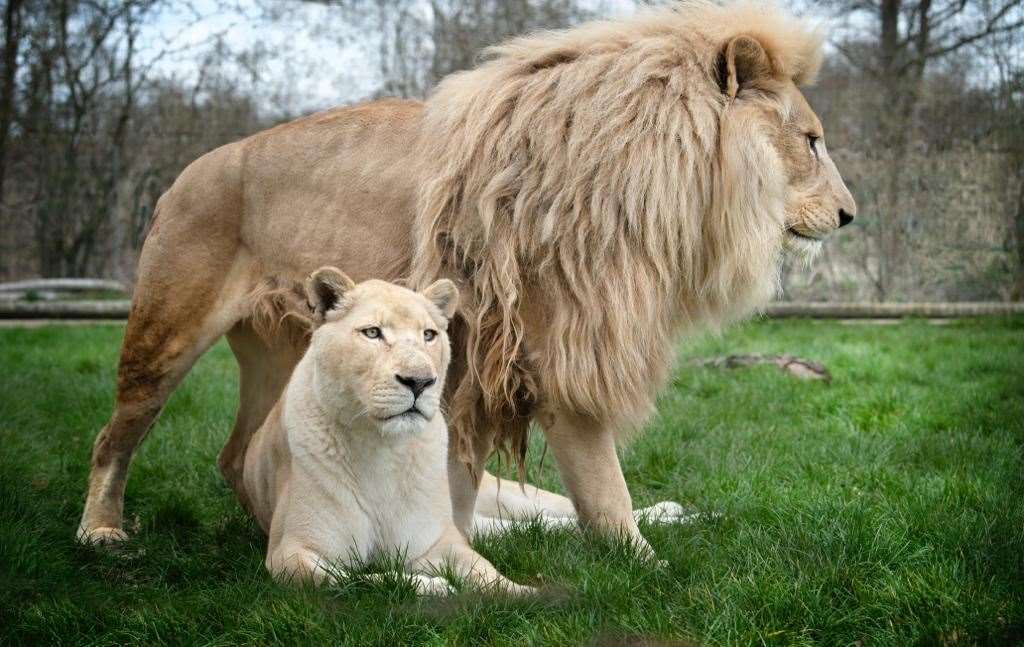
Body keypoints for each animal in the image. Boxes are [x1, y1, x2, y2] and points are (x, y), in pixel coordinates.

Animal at [75, 2, 856, 556]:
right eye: (812, 141)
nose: (849, 215)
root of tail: (186, 172)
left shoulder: (482, 362)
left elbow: (471, 483)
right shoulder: (557, 351)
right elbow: (605, 489)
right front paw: (648, 570)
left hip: (287, 352)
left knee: (240, 454)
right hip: (166, 331)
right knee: (114, 436)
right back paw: (101, 533)